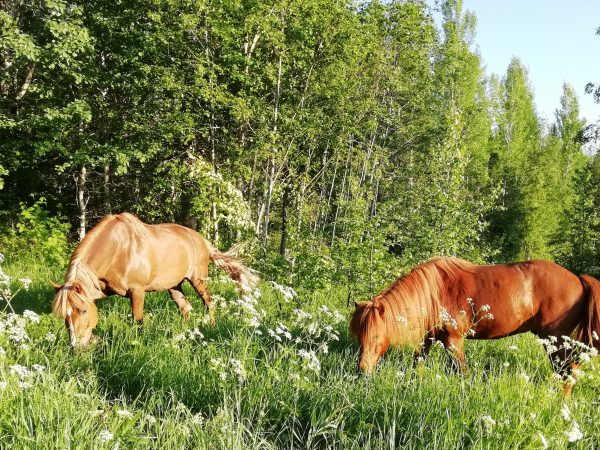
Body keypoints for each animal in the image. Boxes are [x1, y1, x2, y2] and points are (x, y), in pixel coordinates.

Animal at [52, 213, 258, 350]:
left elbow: (138, 321)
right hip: (175, 286)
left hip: (198, 279)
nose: (76, 348)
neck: (119, 250)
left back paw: (212, 327)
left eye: (83, 311)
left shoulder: (137, 292)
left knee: (209, 301)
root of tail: (201, 240)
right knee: (186, 308)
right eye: (64, 316)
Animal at [350, 258, 600, 396]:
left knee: (568, 371)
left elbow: (462, 371)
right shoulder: (428, 339)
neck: (434, 292)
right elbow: (417, 365)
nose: (362, 371)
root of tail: (579, 279)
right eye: (358, 337)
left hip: (556, 342)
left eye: (376, 337)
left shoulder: (453, 340)